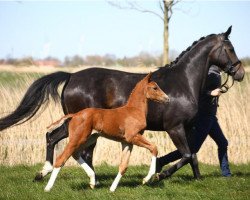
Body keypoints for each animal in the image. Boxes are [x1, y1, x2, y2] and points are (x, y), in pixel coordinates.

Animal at [0, 26, 245, 181]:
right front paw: (159, 175)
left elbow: (192, 155)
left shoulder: (188, 128)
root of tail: (71, 77)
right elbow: (186, 155)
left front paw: (197, 178)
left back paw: (76, 177)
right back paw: (54, 173)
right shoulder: (174, 127)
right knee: (59, 141)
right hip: (79, 124)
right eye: (230, 48)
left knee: (67, 144)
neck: (182, 82)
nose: (240, 73)